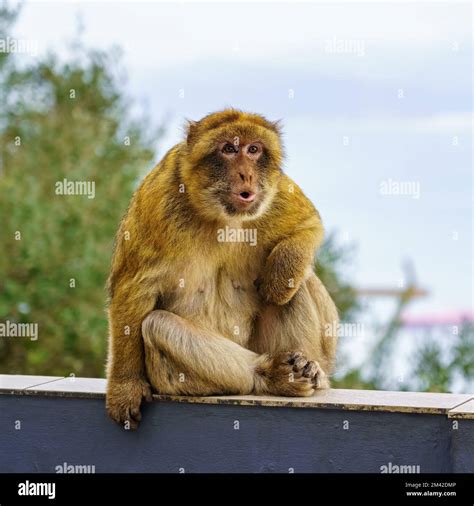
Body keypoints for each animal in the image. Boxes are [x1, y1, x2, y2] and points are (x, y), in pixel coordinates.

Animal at [105, 109, 338, 426]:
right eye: (228, 148)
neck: (219, 217)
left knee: (296, 285)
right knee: (157, 325)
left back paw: (305, 368)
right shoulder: (156, 199)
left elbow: (309, 224)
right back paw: (269, 374)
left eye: (253, 150)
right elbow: (133, 289)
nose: (246, 175)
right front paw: (124, 387)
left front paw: (280, 273)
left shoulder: (275, 190)